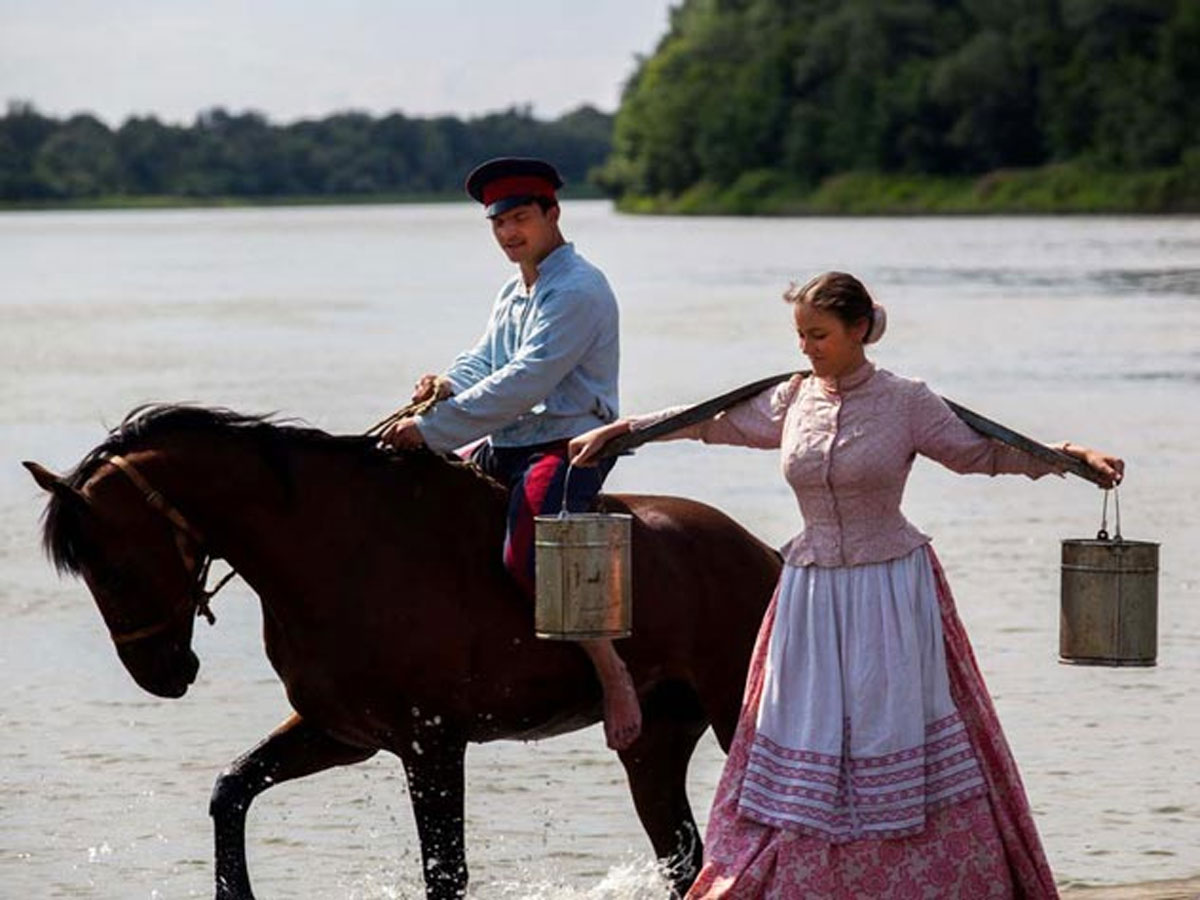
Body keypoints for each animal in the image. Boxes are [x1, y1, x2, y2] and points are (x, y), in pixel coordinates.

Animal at [28, 408, 782, 900]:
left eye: (112, 569)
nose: (161, 674)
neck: (338, 550)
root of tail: (765, 555)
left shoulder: (433, 744)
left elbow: (445, 873)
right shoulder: (345, 733)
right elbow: (230, 791)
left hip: (731, 719)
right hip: (654, 744)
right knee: (684, 859)